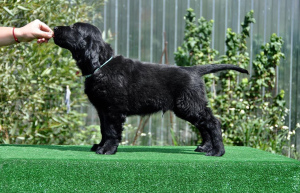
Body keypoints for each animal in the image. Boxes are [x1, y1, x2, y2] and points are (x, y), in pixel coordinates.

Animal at [54, 22, 248, 156]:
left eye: (73, 27)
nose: (55, 28)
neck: (101, 65)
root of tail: (193, 70)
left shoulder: (113, 110)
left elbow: (111, 131)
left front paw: (107, 149)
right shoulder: (103, 110)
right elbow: (104, 129)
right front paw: (99, 145)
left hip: (189, 105)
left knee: (213, 122)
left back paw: (217, 151)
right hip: (189, 106)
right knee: (203, 125)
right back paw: (205, 147)